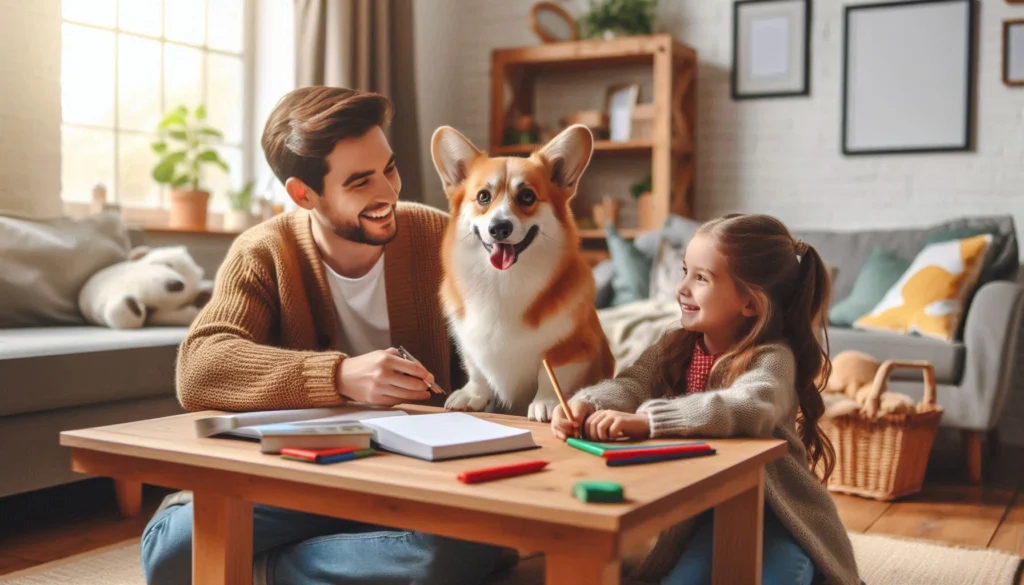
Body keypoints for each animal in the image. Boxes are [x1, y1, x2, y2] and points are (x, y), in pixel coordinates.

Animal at [432, 123, 614, 422]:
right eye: (483, 196)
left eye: (527, 196)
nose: (499, 228)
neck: (502, 281)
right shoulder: (470, 345)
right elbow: (478, 371)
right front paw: (473, 395)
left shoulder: (573, 349)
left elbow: (550, 375)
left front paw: (547, 403)